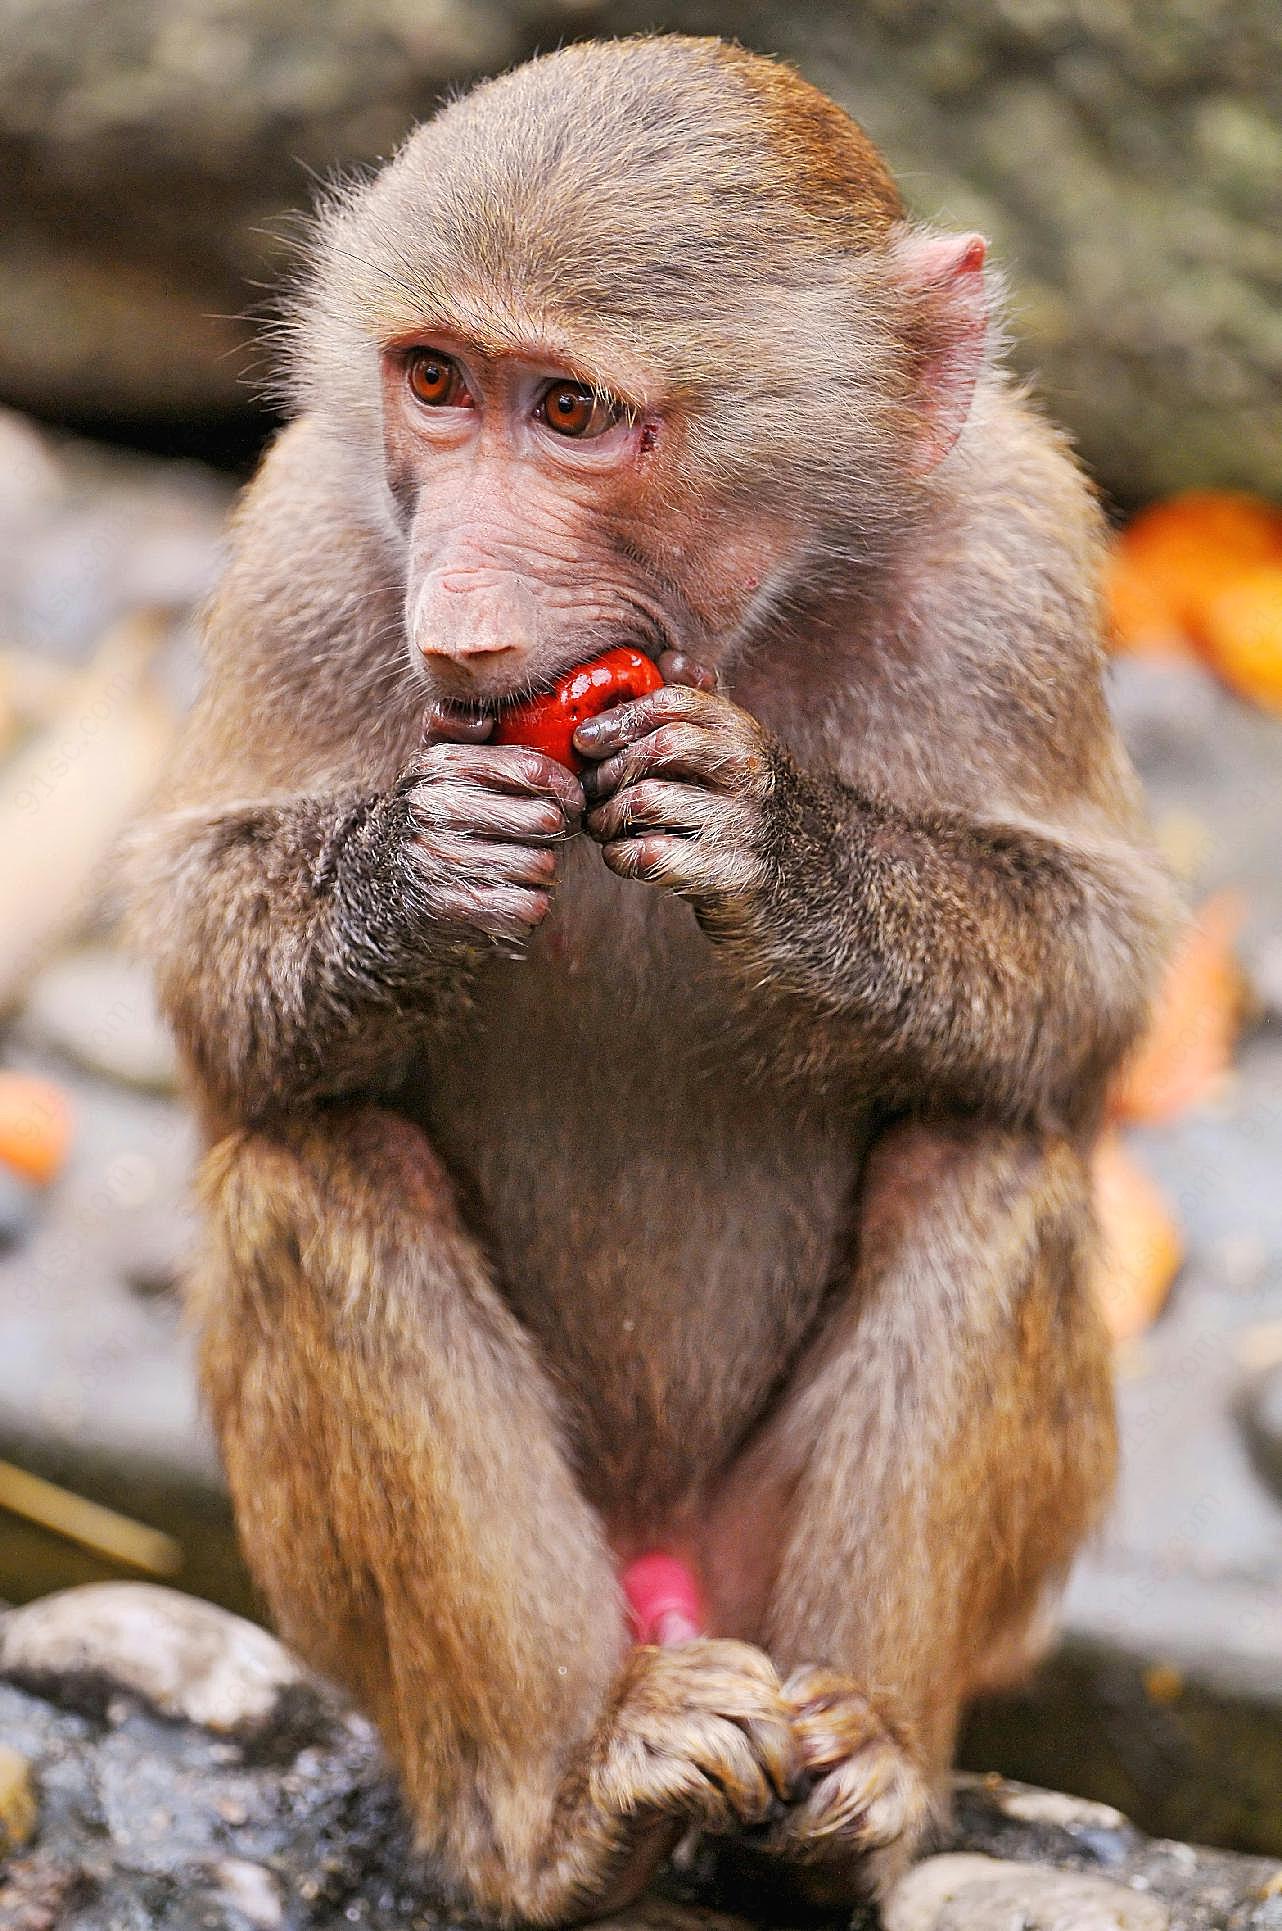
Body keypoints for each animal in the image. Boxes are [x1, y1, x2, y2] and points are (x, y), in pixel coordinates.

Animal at [127, 34, 1173, 1931]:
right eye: (439, 383)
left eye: (572, 413)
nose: (459, 612)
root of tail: (670, 1576)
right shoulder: (313, 535)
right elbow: (207, 988)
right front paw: (413, 871)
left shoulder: (1018, 553)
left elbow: (1090, 983)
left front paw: (779, 853)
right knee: (318, 1169)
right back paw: (563, 1804)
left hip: (759, 1569)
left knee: (988, 1161)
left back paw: (854, 1782)